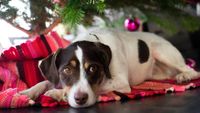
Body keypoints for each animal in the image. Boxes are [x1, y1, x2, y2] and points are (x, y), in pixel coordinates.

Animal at [19, 28, 199, 107]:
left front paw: (58, 94)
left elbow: (99, 85)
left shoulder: (120, 82)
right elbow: (44, 82)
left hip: (161, 51)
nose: (80, 99)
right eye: (66, 70)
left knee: (193, 70)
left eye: (93, 68)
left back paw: (184, 76)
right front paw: (26, 93)